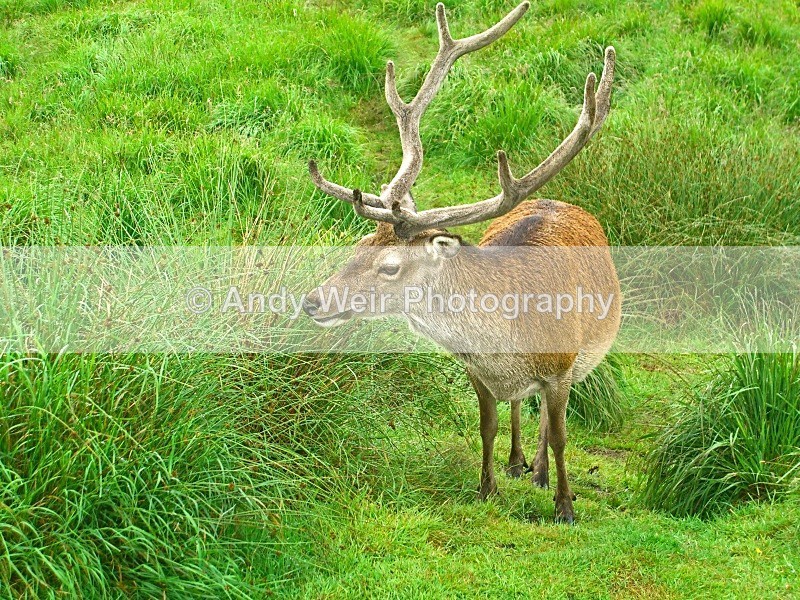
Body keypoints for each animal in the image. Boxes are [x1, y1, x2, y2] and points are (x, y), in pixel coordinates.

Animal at [302, 1, 620, 524]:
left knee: (546, 420)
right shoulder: (477, 371)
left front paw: (564, 506)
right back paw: (517, 463)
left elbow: (560, 435)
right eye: (360, 243)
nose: (312, 301)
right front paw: (487, 488)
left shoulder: (561, 368)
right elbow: (486, 425)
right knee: (519, 410)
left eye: (390, 266)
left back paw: (538, 473)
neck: (508, 342)